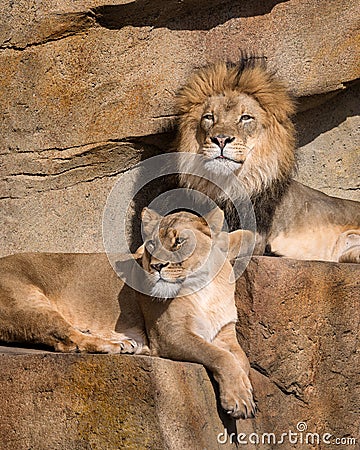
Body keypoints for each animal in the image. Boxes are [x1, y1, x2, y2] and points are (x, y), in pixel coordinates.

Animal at [175, 57, 360, 260]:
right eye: (209, 117)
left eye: (245, 118)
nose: (221, 139)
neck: (227, 185)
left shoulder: (258, 236)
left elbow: (236, 238)